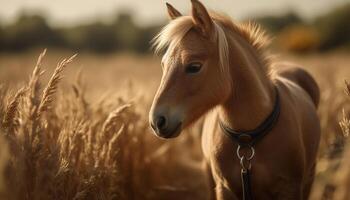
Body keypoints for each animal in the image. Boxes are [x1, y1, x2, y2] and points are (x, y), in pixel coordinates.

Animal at [148, 0, 320, 199]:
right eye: (163, 64)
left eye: (194, 66)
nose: (157, 121)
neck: (247, 139)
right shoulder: (224, 188)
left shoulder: (290, 188)